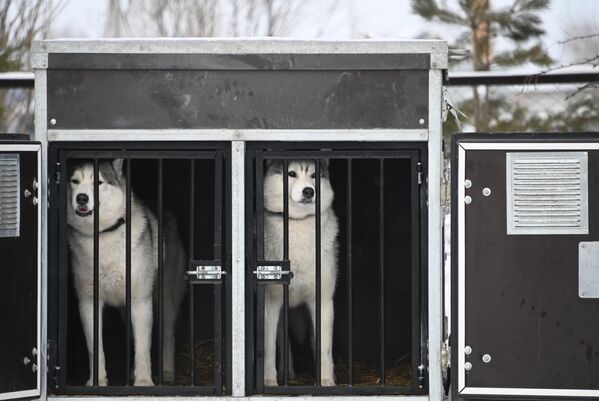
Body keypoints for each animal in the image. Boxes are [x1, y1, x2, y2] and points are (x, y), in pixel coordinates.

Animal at [67, 159, 186, 384]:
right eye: (74, 181)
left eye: (98, 182)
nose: (81, 198)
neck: (103, 235)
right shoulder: (88, 302)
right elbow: (95, 348)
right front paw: (97, 382)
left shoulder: (141, 301)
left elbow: (144, 348)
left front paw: (144, 382)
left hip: (166, 299)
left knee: (167, 336)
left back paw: (166, 372)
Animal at [262, 158, 338, 382]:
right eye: (291, 173)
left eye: (314, 176)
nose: (309, 191)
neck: (297, 223)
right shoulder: (270, 303)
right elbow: (268, 348)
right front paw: (268, 381)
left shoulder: (322, 301)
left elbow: (324, 347)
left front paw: (327, 381)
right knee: (282, 341)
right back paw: (286, 373)